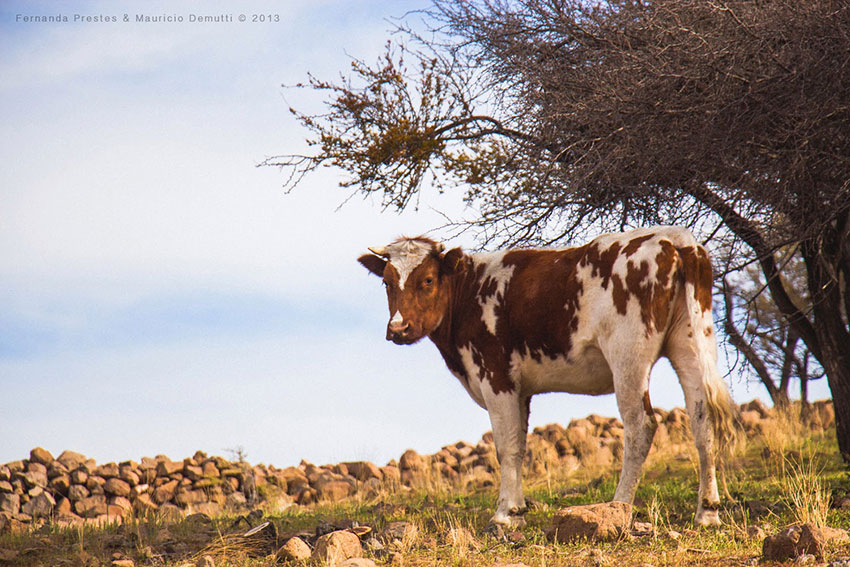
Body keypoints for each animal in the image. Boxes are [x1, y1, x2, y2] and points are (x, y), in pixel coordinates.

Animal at [358, 226, 736, 532]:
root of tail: (675, 239)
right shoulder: (521, 388)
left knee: (640, 425)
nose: (398, 329)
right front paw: (518, 511)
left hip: (628, 355)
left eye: (427, 280)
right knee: (702, 421)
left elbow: (506, 446)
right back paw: (707, 512)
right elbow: (520, 445)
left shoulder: (496, 375)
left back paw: (620, 504)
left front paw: (504, 515)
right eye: (386, 282)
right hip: (691, 341)